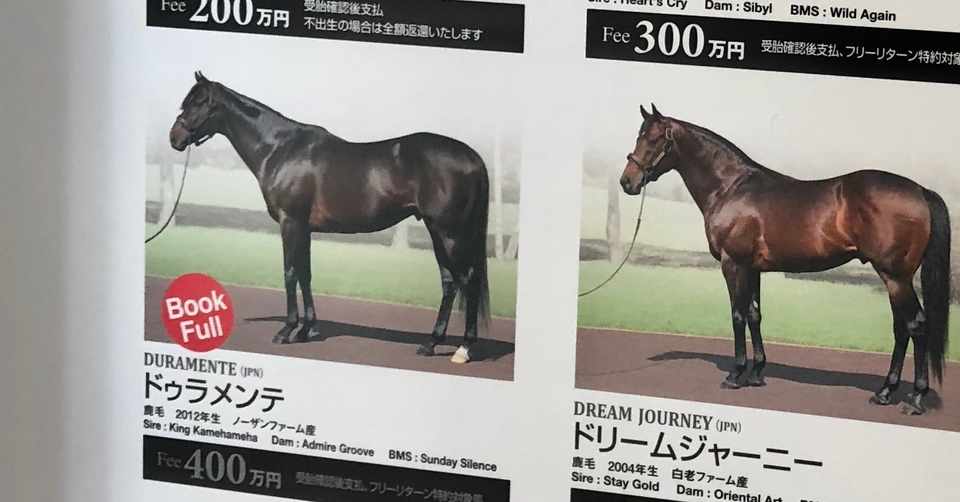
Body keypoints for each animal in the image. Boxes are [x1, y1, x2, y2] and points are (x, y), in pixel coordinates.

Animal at [168, 72, 490, 364]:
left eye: (199, 102)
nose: (174, 138)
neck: (280, 149)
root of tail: (473, 157)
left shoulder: (290, 222)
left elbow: (290, 273)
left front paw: (286, 331)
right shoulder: (305, 228)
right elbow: (305, 274)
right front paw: (307, 330)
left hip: (450, 233)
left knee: (468, 281)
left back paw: (463, 349)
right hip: (438, 231)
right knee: (449, 282)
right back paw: (431, 344)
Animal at [619, 104, 951, 415]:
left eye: (652, 139)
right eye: (639, 136)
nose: (627, 182)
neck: (730, 187)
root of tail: (920, 190)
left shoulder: (733, 264)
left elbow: (737, 315)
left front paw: (735, 375)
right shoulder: (752, 269)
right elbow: (754, 314)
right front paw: (756, 373)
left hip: (896, 277)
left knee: (916, 325)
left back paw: (914, 398)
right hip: (894, 278)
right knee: (901, 328)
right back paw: (885, 392)